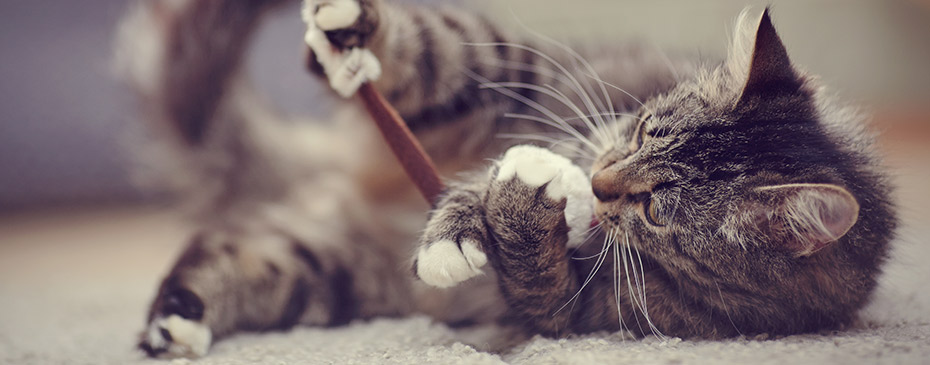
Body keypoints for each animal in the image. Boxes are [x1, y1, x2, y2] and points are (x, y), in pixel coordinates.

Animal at [116, 0, 892, 358]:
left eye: (655, 208)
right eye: (644, 129)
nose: (601, 180)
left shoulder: (578, 312)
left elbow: (533, 274)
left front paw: (517, 203)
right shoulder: (543, 99)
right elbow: (469, 167)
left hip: (327, 268)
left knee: (224, 255)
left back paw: (179, 321)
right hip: (505, 68)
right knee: (440, 52)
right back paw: (352, 37)